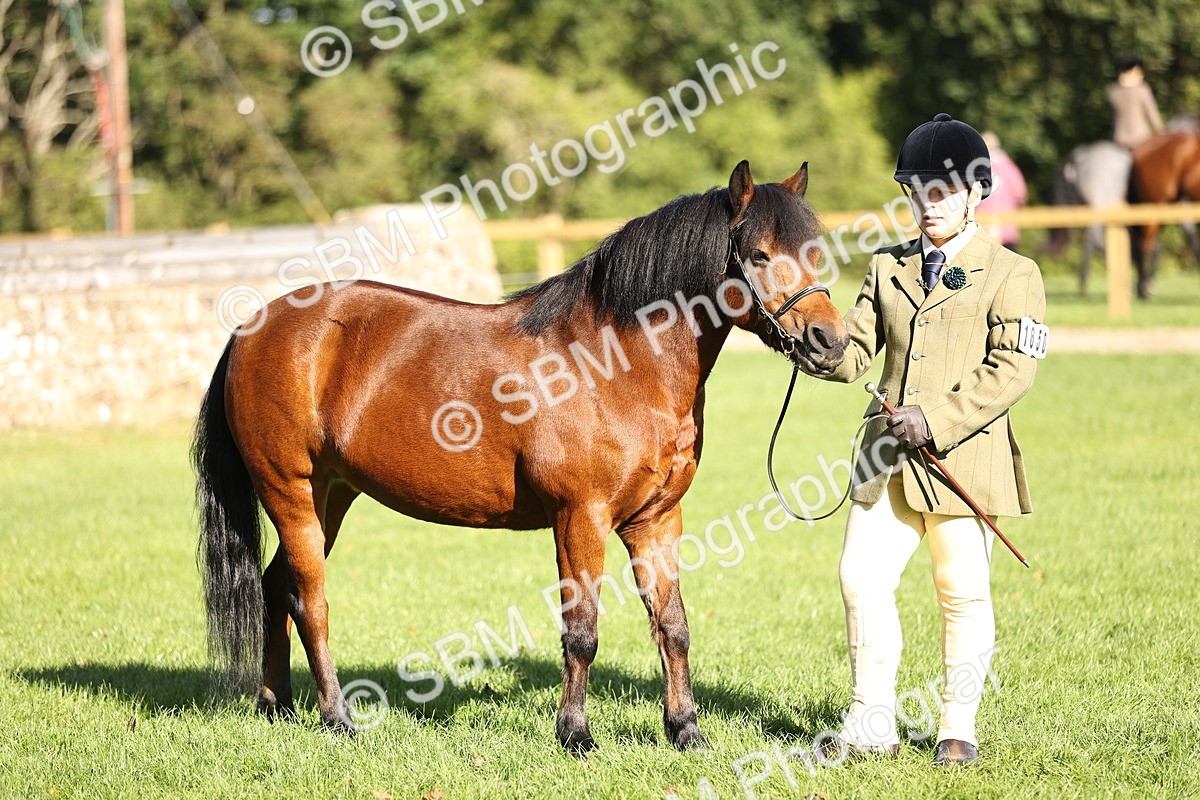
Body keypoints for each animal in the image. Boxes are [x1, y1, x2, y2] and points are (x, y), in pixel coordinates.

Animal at [192, 160, 849, 754]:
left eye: (814, 251)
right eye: (758, 255)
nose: (831, 342)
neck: (614, 363)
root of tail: (255, 327)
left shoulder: (657, 519)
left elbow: (674, 627)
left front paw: (685, 731)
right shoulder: (580, 516)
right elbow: (581, 630)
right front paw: (575, 734)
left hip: (332, 493)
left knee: (276, 586)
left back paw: (275, 705)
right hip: (290, 491)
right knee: (310, 600)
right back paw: (336, 716)